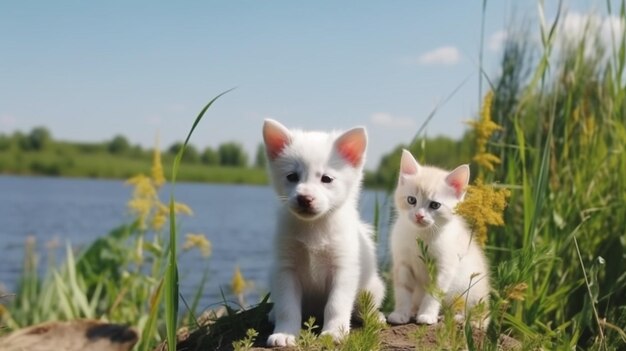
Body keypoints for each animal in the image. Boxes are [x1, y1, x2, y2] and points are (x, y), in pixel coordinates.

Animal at [260, 119, 382, 348]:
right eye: (292, 176)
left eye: (327, 178)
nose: (304, 198)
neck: (314, 228)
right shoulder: (285, 270)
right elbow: (287, 307)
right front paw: (285, 333)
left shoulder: (343, 269)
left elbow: (336, 305)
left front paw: (334, 332)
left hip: (372, 286)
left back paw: (374, 316)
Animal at [386, 151, 488, 328]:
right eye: (411, 200)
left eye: (435, 205)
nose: (419, 215)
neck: (422, 235)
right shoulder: (403, 263)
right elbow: (403, 291)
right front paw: (400, 314)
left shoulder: (444, 267)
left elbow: (434, 293)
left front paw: (427, 315)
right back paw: (414, 310)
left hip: (473, 289)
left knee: (481, 315)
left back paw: (462, 318)